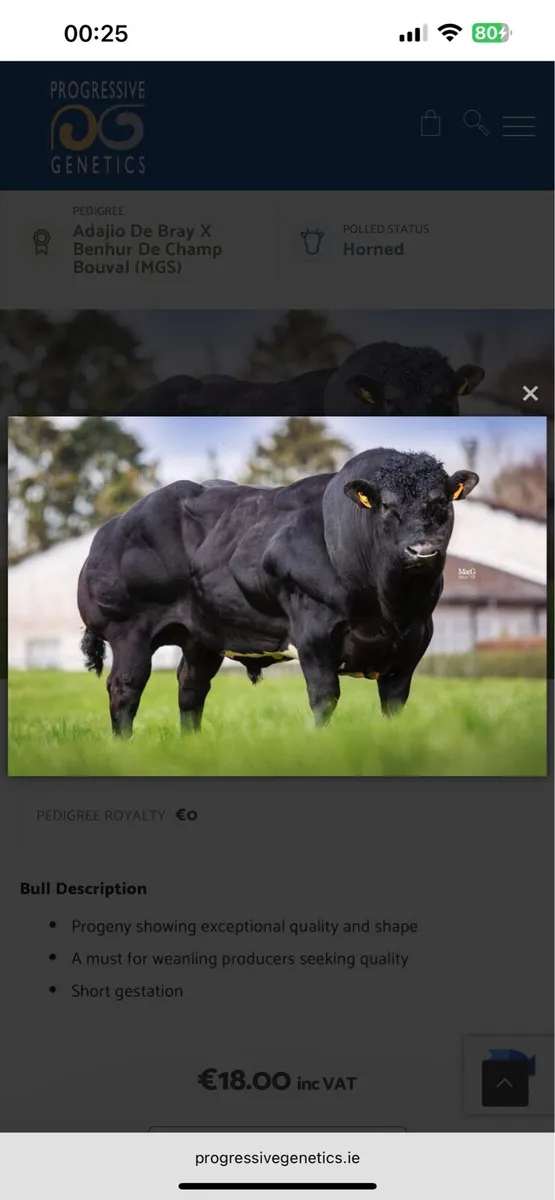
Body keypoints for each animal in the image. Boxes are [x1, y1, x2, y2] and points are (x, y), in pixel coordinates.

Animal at [78, 448, 478, 738]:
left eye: (441, 503)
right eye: (387, 506)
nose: (422, 550)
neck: (389, 606)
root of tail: (115, 525)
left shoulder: (411, 648)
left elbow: (394, 705)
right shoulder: (315, 636)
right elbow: (324, 698)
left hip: (201, 637)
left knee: (191, 687)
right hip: (129, 631)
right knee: (125, 687)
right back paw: (122, 744)